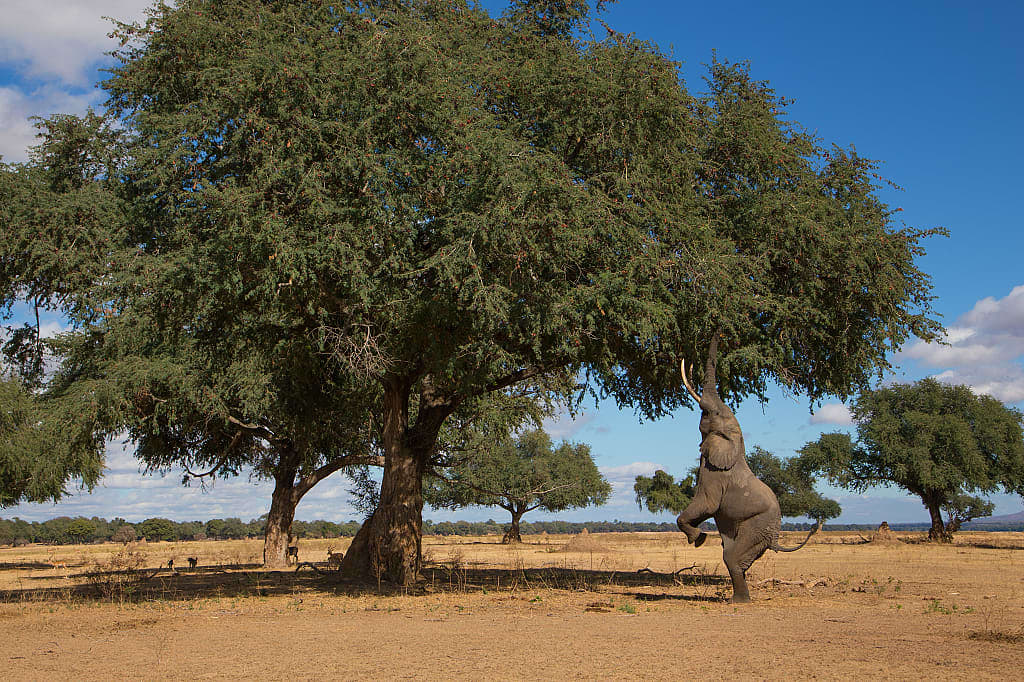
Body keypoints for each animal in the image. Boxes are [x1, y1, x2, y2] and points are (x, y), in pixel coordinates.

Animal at [675, 337, 819, 603]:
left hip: (757, 526)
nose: (718, 330)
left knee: (731, 558)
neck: (735, 439)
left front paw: (698, 539)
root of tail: (775, 538)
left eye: (708, 413)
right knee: (734, 557)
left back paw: (738, 602)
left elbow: (707, 504)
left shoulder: (714, 472)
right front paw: (699, 538)